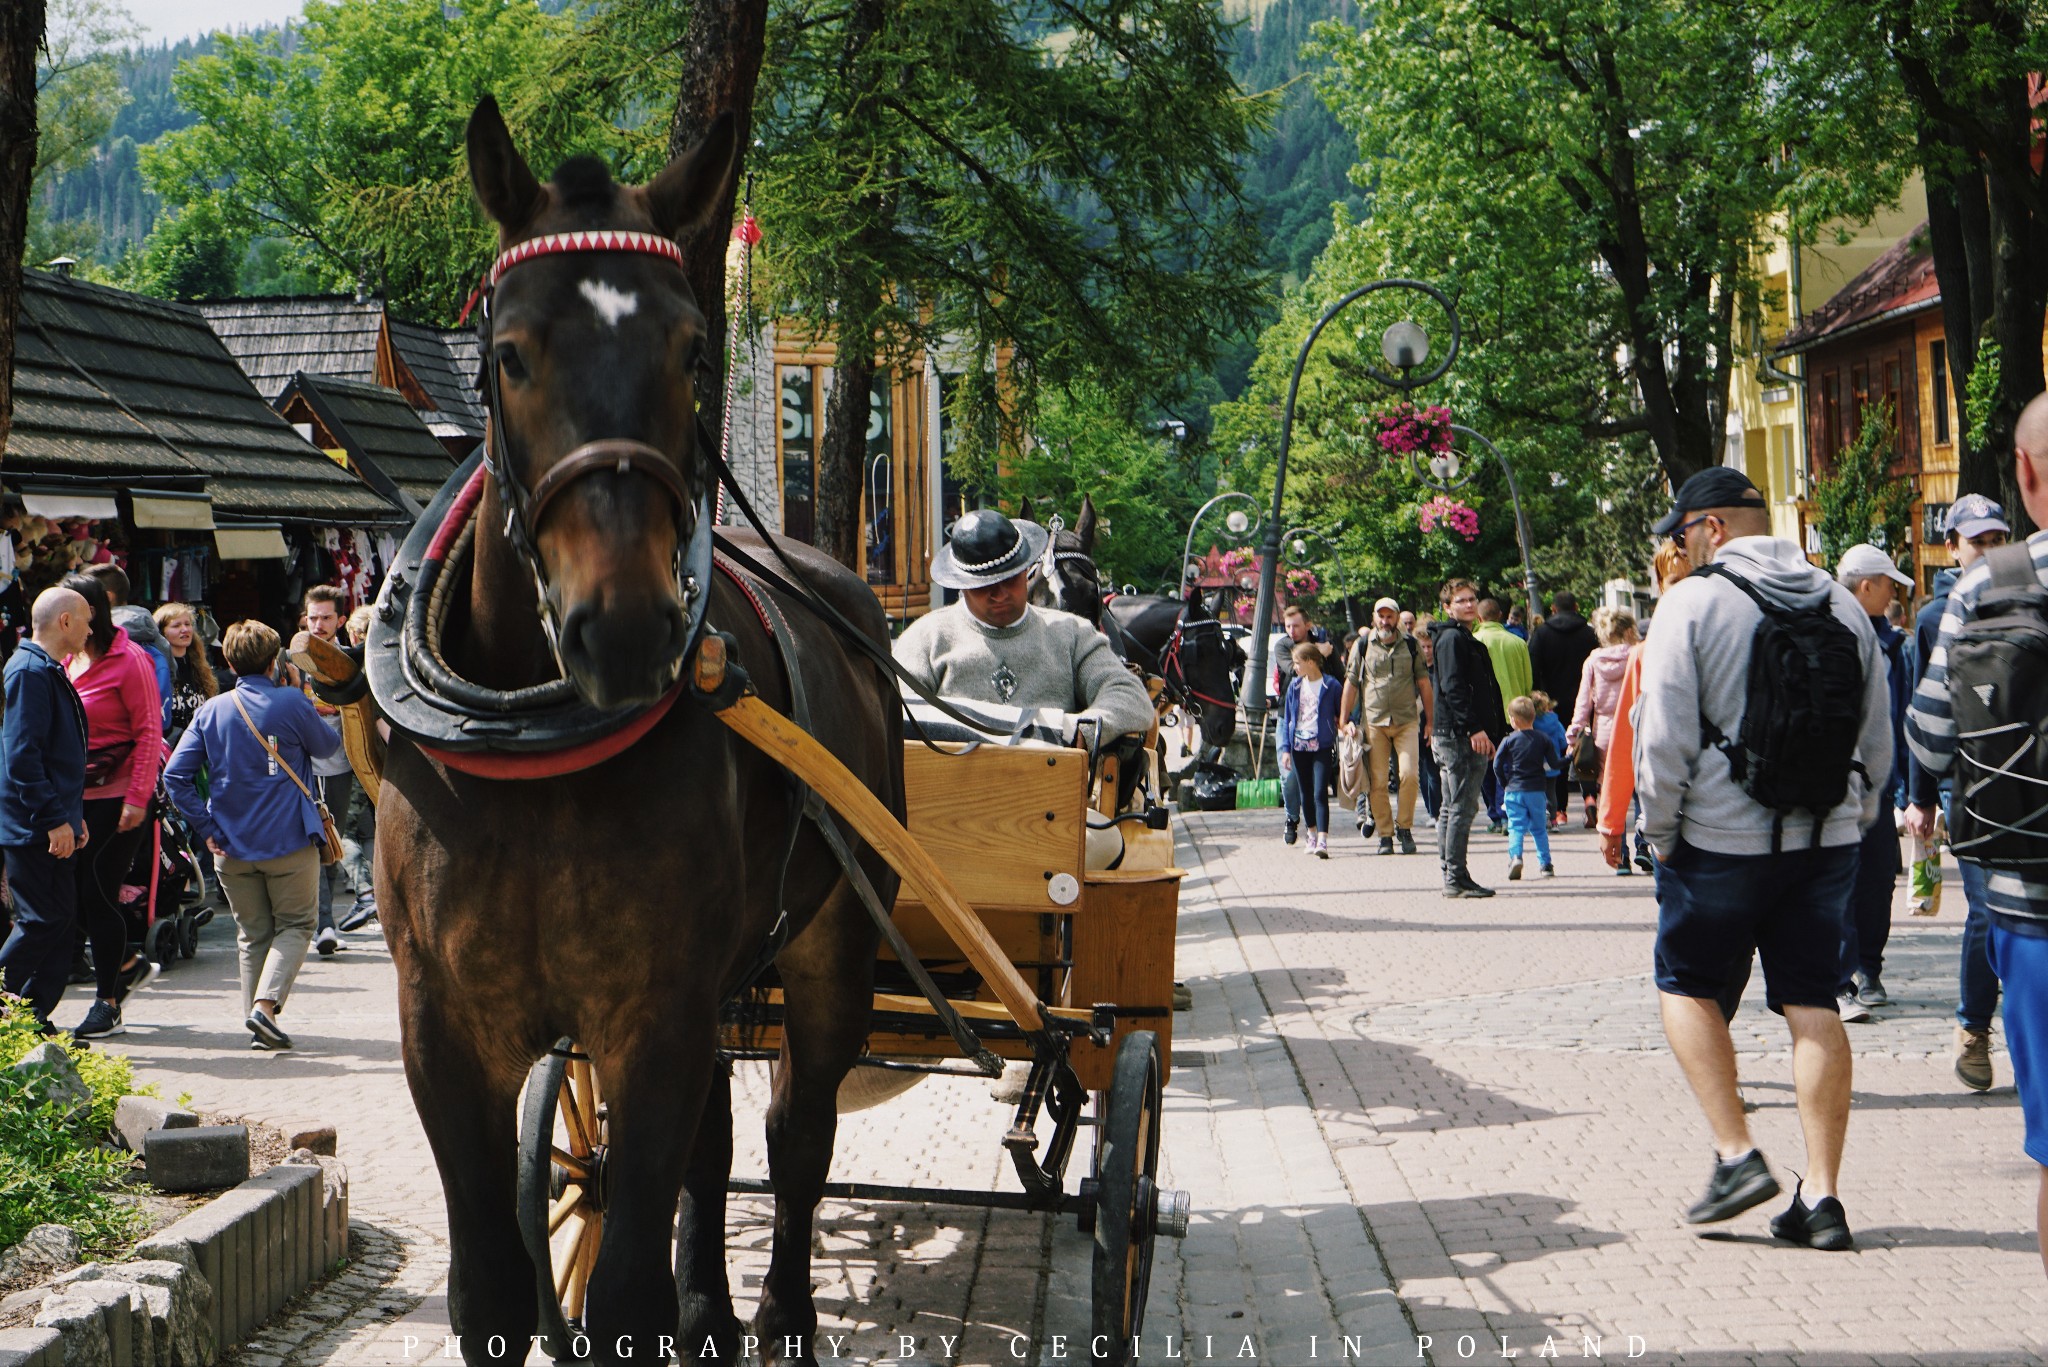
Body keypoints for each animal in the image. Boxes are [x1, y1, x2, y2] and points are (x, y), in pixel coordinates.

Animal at [378, 98, 905, 1367]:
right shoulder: (442, 1026)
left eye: (694, 351)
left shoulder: (653, 1010)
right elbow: (490, 1292)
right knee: (713, 1147)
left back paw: (780, 1313)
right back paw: (713, 1308)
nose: (621, 627)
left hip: (828, 946)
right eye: (509, 352)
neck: (530, 764)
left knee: (796, 1138)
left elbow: (623, 1296)